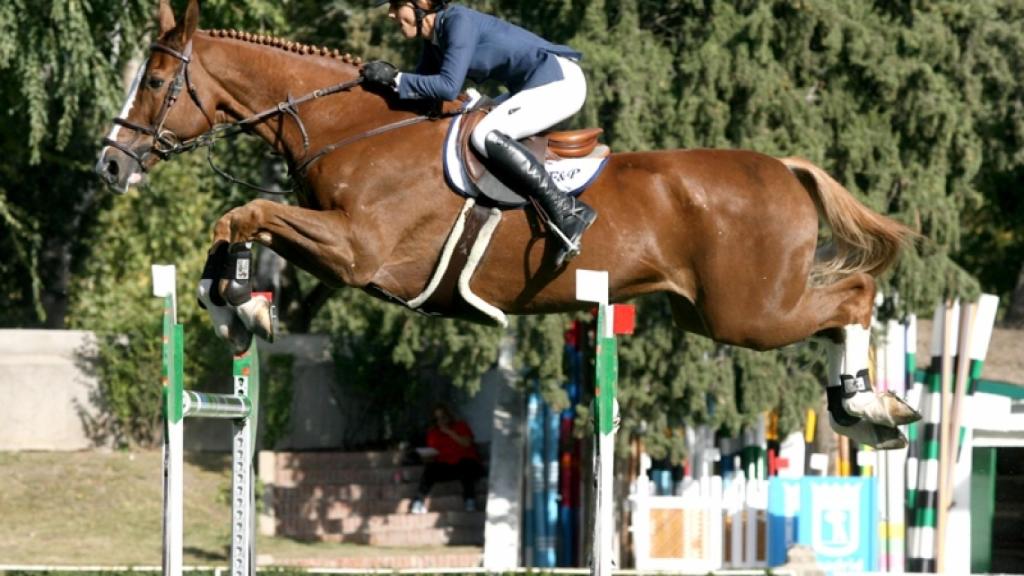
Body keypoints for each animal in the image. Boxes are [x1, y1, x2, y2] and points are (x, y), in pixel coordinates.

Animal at [97, 0, 921, 446]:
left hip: (750, 310)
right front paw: (236, 302)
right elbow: (241, 220)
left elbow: (248, 211)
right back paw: (866, 406)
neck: (356, 128)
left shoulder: (360, 253)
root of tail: (784, 168)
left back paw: (866, 404)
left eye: (159, 81)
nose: (110, 164)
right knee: (842, 303)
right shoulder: (336, 243)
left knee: (853, 298)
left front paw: (240, 305)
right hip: (711, 312)